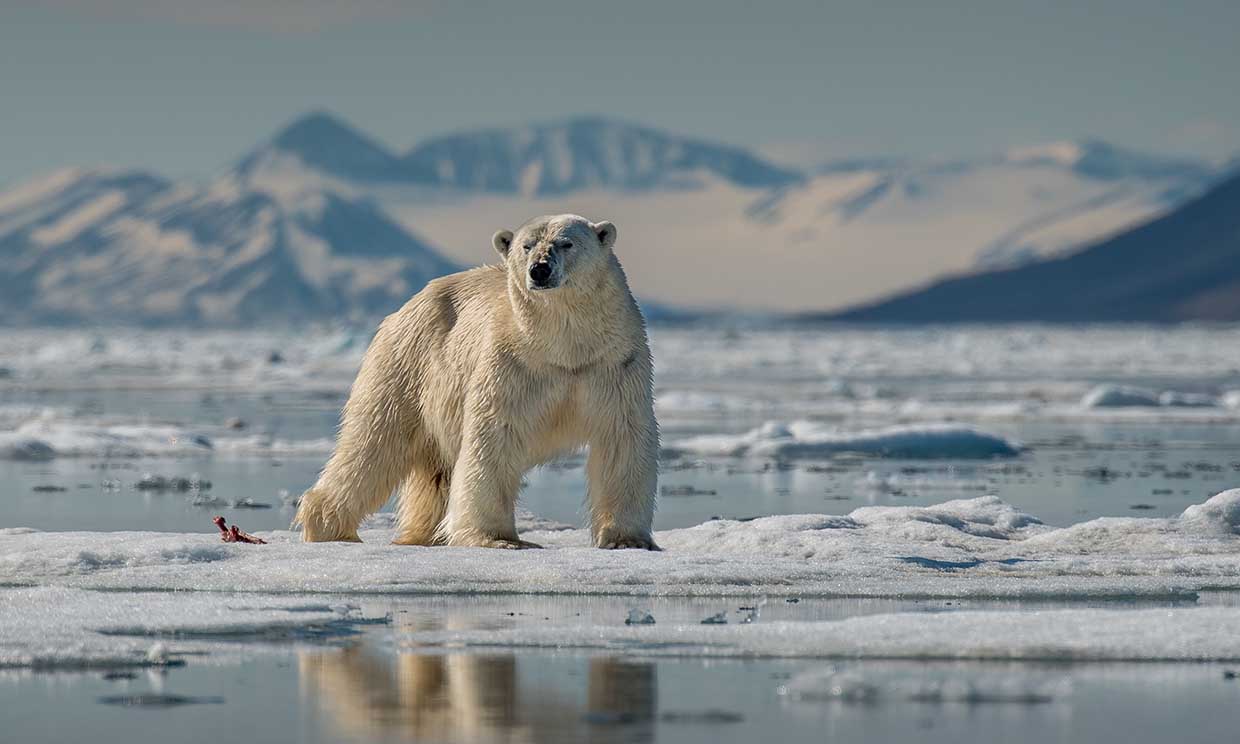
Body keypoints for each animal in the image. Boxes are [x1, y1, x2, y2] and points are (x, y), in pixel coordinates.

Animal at [295, 212, 659, 548]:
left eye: (566, 243)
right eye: (527, 246)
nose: (539, 270)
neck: (564, 347)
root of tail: (407, 306)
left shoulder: (614, 363)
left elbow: (622, 437)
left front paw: (627, 539)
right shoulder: (513, 363)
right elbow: (494, 436)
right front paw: (499, 538)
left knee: (430, 470)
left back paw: (424, 533)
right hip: (410, 363)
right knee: (374, 441)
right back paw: (329, 527)